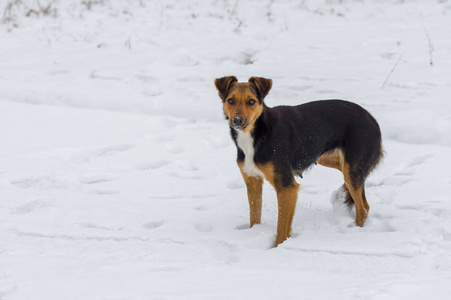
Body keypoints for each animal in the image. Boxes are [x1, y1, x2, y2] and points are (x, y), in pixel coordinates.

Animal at [214, 76, 384, 247]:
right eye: (230, 100)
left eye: (251, 102)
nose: (237, 120)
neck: (259, 132)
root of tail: (372, 118)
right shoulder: (253, 182)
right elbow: (255, 217)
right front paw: (254, 232)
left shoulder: (286, 186)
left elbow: (282, 226)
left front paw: (278, 247)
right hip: (332, 160)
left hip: (351, 169)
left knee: (363, 207)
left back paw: (356, 231)